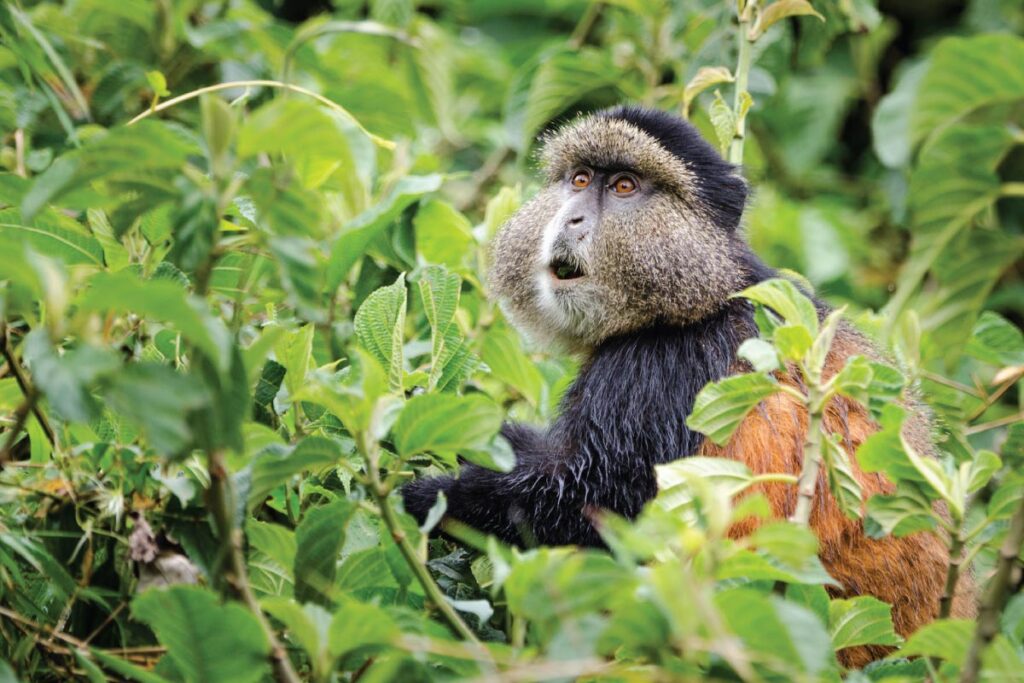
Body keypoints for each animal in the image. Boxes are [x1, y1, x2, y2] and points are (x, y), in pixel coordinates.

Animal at [400, 105, 971, 666]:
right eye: (580, 180)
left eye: (624, 186)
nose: (572, 218)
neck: (704, 294)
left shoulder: (660, 371)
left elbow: (589, 503)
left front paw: (426, 497)